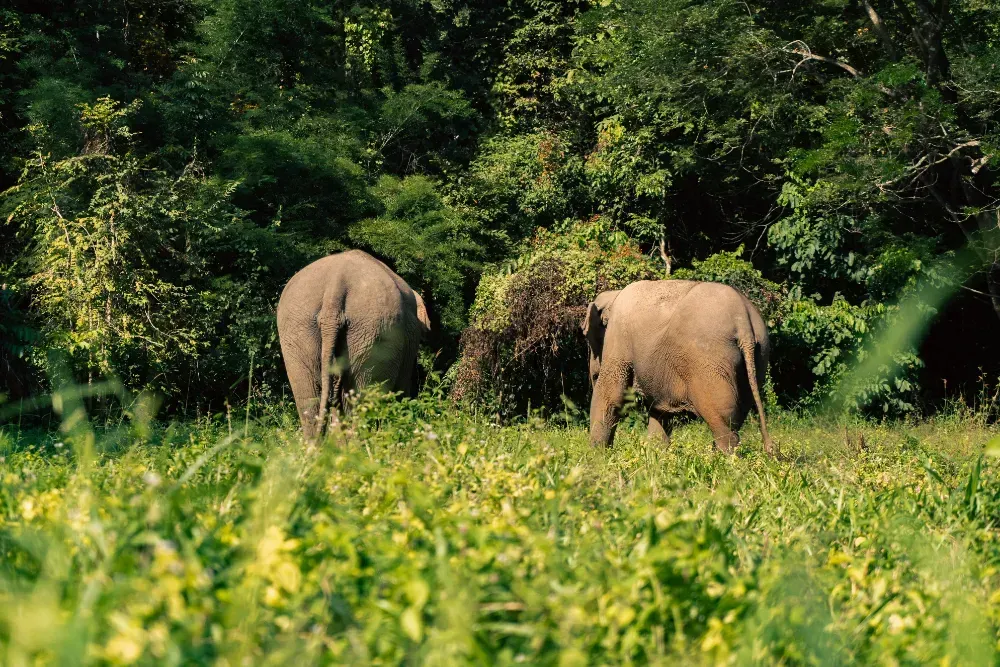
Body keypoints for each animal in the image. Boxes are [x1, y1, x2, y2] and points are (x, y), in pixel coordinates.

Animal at [581, 280, 776, 455]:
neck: (614, 295)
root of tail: (743, 322)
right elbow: (660, 411)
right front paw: (657, 457)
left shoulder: (618, 337)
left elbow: (610, 395)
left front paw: (597, 458)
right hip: (760, 354)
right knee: (738, 413)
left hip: (708, 361)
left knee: (722, 420)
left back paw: (723, 462)